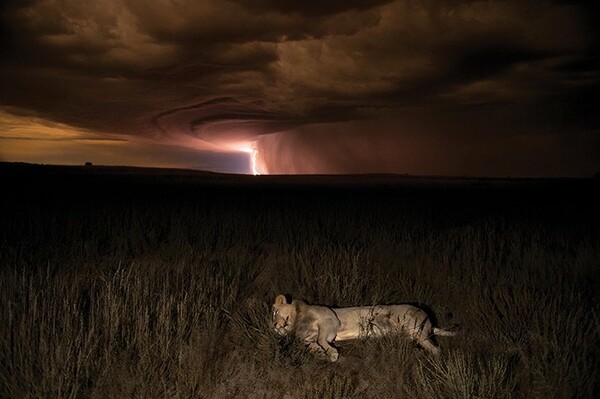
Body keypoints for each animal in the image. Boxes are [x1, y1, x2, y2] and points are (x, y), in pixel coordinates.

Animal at [270, 294, 454, 362]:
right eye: (273, 315)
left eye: (275, 312)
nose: (274, 326)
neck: (297, 321)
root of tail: (430, 321)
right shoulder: (308, 338)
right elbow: (311, 344)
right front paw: (323, 353)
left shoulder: (330, 319)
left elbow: (322, 338)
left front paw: (332, 353)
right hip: (415, 335)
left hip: (416, 328)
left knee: (436, 349)